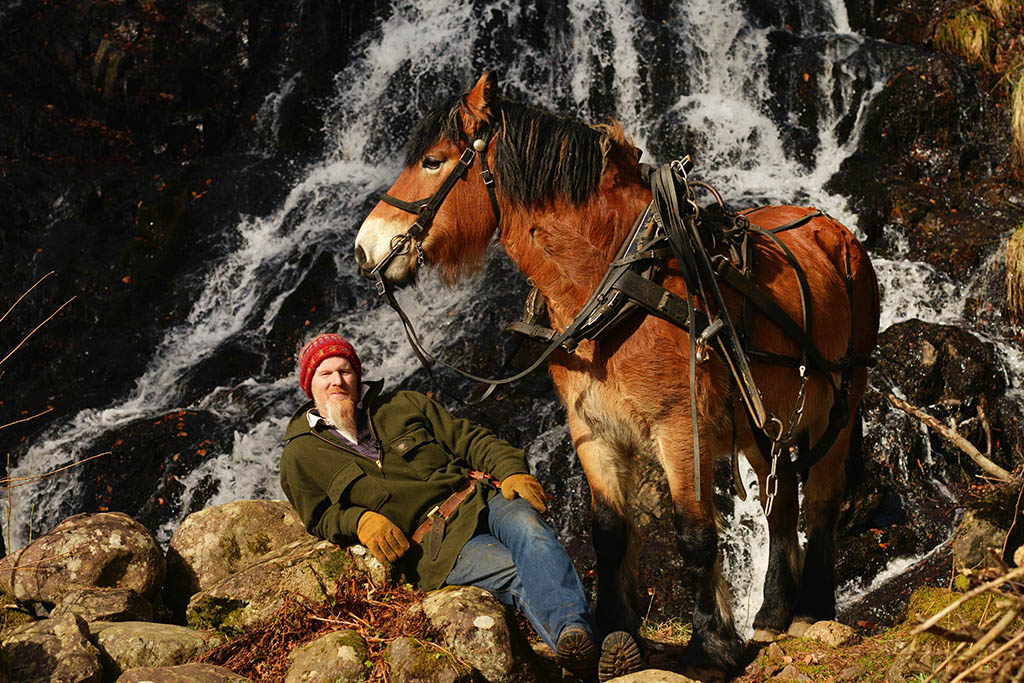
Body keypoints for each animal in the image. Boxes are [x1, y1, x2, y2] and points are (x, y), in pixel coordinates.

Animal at [354, 70, 880, 679]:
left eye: (434, 161)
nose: (363, 247)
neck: (619, 282)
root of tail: (834, 228)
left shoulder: (681, 427)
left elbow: (694, 535)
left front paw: (711, 646)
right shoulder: (592, 429)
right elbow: (607, 532)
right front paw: (610, 631)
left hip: (838, 405)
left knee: (820, 501)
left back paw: (813, 609)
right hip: (762, 422)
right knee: (783, 503)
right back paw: (772, 614)